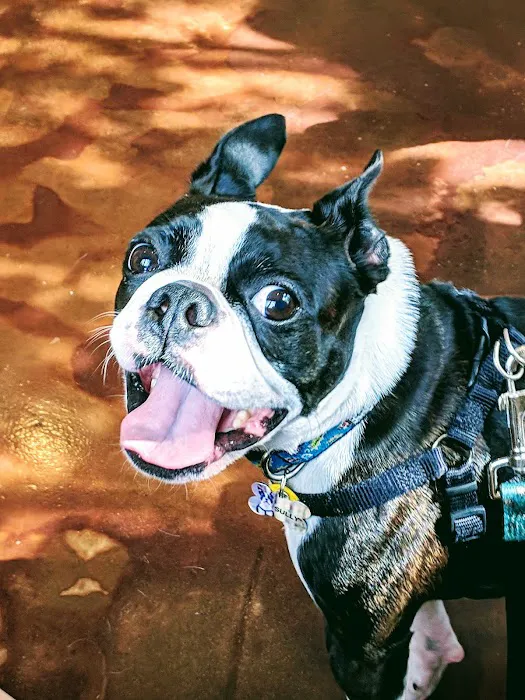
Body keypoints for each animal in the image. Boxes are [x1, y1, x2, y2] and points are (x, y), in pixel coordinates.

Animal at [110, 114, 525, 699]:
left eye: (278, 302)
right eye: (140, 259)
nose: (178, 300)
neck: (366, 406)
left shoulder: (363, 649)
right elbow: (429, 643)